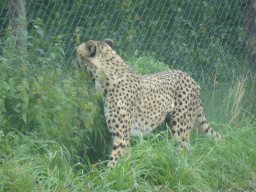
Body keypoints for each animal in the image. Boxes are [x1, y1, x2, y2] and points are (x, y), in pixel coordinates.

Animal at [76, 38, 220, 167]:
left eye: (78, 53)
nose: (75, 62)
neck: (104, 76)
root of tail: (192, 79)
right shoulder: (122, 136)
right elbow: (125, 160)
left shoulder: (121, 136)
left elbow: (114, 162)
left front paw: (104, 178)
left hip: (179, 127)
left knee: (186, 149)